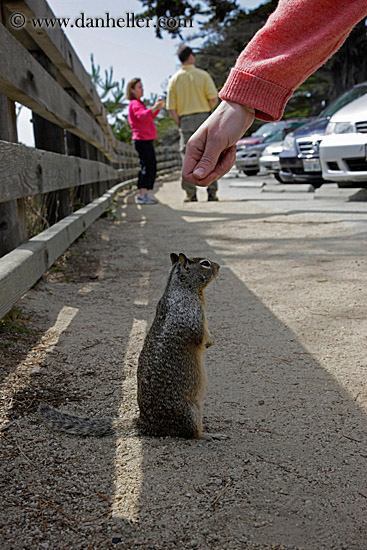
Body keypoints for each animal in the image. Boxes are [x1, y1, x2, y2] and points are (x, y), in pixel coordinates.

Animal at [38, 252, 227, 442]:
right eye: (205, 263)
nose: (219, 266)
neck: (181, 288)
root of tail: (146, 424)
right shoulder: (193, 318)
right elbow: (202, 337)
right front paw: (211, 342)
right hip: (191, 414)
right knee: (192, 434)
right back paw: (211, 435)